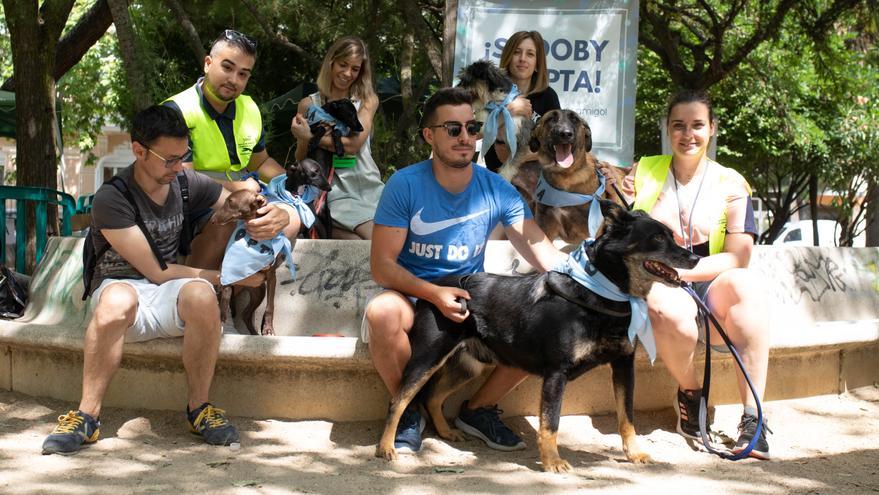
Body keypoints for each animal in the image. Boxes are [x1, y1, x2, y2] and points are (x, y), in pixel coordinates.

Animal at [378, 202, 700, 472]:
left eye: (672, 236)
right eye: (657, 238)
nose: (696, 257)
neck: (601, 292)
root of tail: (436, 287)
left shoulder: (623, 366)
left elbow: (627, 418)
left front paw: (634, 454)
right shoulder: (556, 374)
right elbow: (551, 423)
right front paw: (552, 462)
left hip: (468, 365)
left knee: (433, 397)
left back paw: (447, 432)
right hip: (428, 357)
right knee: (400, 400)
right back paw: (385, 448)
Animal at [528, 109, 624, 244]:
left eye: (575, 119)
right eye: (551, 119)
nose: (565, 134)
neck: (565, 176)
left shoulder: (589, 230)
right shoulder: (545, 227)